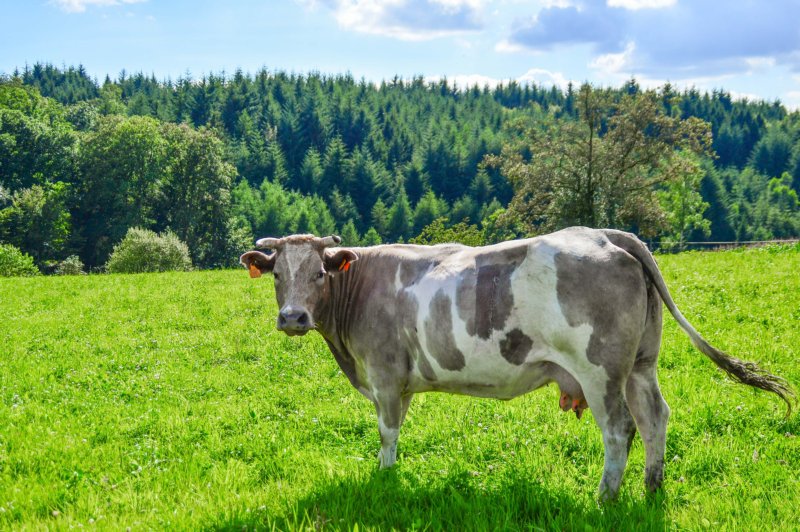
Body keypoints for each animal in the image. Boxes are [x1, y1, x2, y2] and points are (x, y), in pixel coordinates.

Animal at [240, 227, 795, 500]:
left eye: (318, 273)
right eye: (277, 275)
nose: (292, 317)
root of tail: (607, 235)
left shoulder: (384, 374)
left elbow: (387, 434)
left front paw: (386, 478)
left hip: (599, 370)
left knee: (620, 429)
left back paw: (605, 497)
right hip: (641, 363)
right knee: (654, 418)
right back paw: (651, 489)